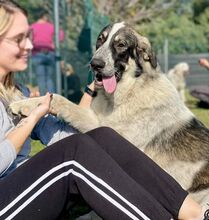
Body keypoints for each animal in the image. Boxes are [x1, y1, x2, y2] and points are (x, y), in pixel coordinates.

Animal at [9, 21, 209, 210]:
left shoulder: (107, 130)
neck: (127, 92)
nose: (95, 64)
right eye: (100, 40)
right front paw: (25, 103)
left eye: (121, 45)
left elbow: (60, 100)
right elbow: (57, 99)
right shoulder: (97, 121)